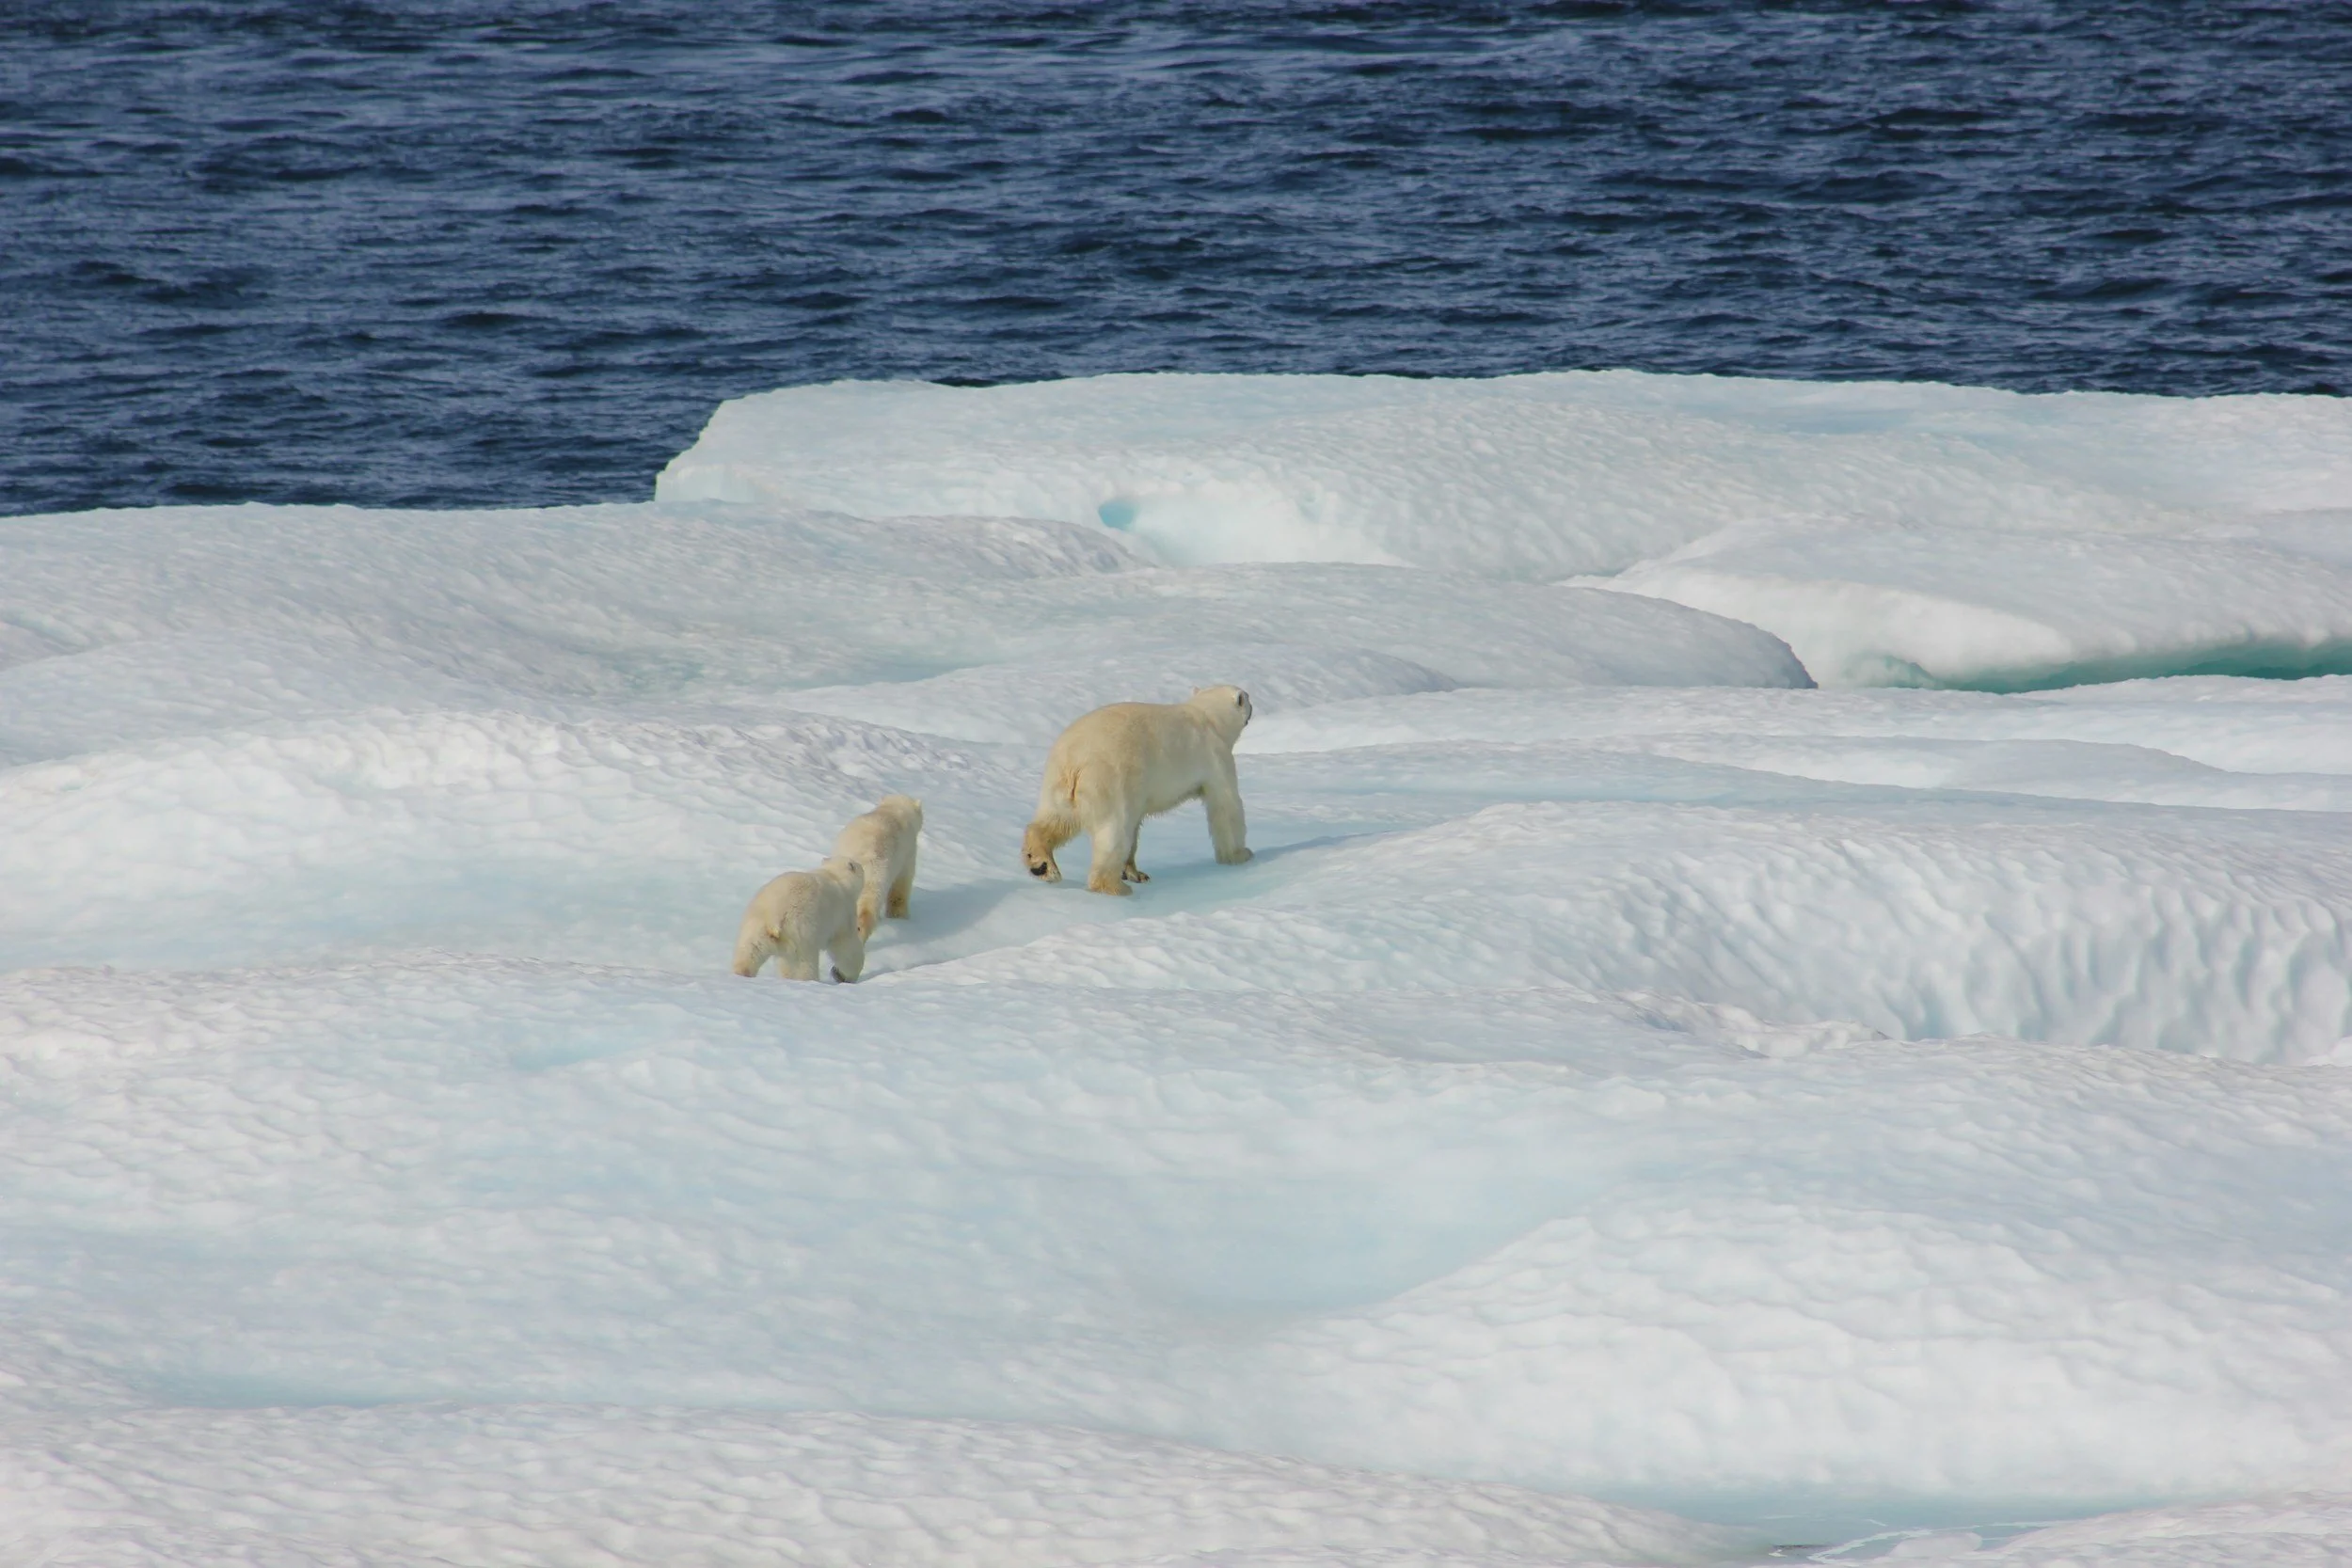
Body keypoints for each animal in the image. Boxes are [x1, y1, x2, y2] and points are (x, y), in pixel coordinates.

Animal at [732, 855, 867, 982]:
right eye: (859, 865)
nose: (862, 867)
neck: (834, 876)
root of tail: (774, 915)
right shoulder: (844, 912)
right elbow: (846, 946)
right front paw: (843, 975)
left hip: (757, 925)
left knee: (750, 951)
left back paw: (742, 973)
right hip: (800, 930)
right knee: (802, 963)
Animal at [833, 793, 923, 938]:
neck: (894, 810)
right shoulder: (908, 853)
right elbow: (901, 886)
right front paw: (900, 916)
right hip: (877, 872)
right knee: (869, 904)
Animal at [1022, 685, 1254, 896]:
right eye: (1247, 697)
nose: (1252, 706)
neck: (1208, 716)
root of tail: (1075, 758)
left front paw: (1135, 873)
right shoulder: (1215, 756)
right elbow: (1226, 806)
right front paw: (1241, 854)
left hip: (1058, 782)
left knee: (1057, 819)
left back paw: (1041, 865)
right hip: (1110, 780)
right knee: (1113, 832)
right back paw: (1115, 887)